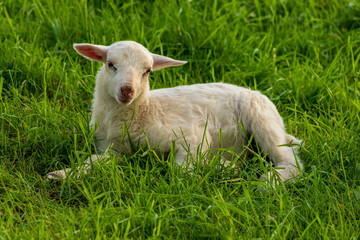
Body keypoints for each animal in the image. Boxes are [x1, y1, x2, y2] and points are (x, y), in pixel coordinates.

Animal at [46, 40, 302, 184]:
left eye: (147, 71)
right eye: (110, 64)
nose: (127, 90)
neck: (141, 113)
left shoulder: (193, 135)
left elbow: (181, 171)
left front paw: (220, 167)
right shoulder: (111, 149)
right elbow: (94, 162)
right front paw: (62, 174)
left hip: (260, 118)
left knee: (290, 161)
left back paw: (269, 183)